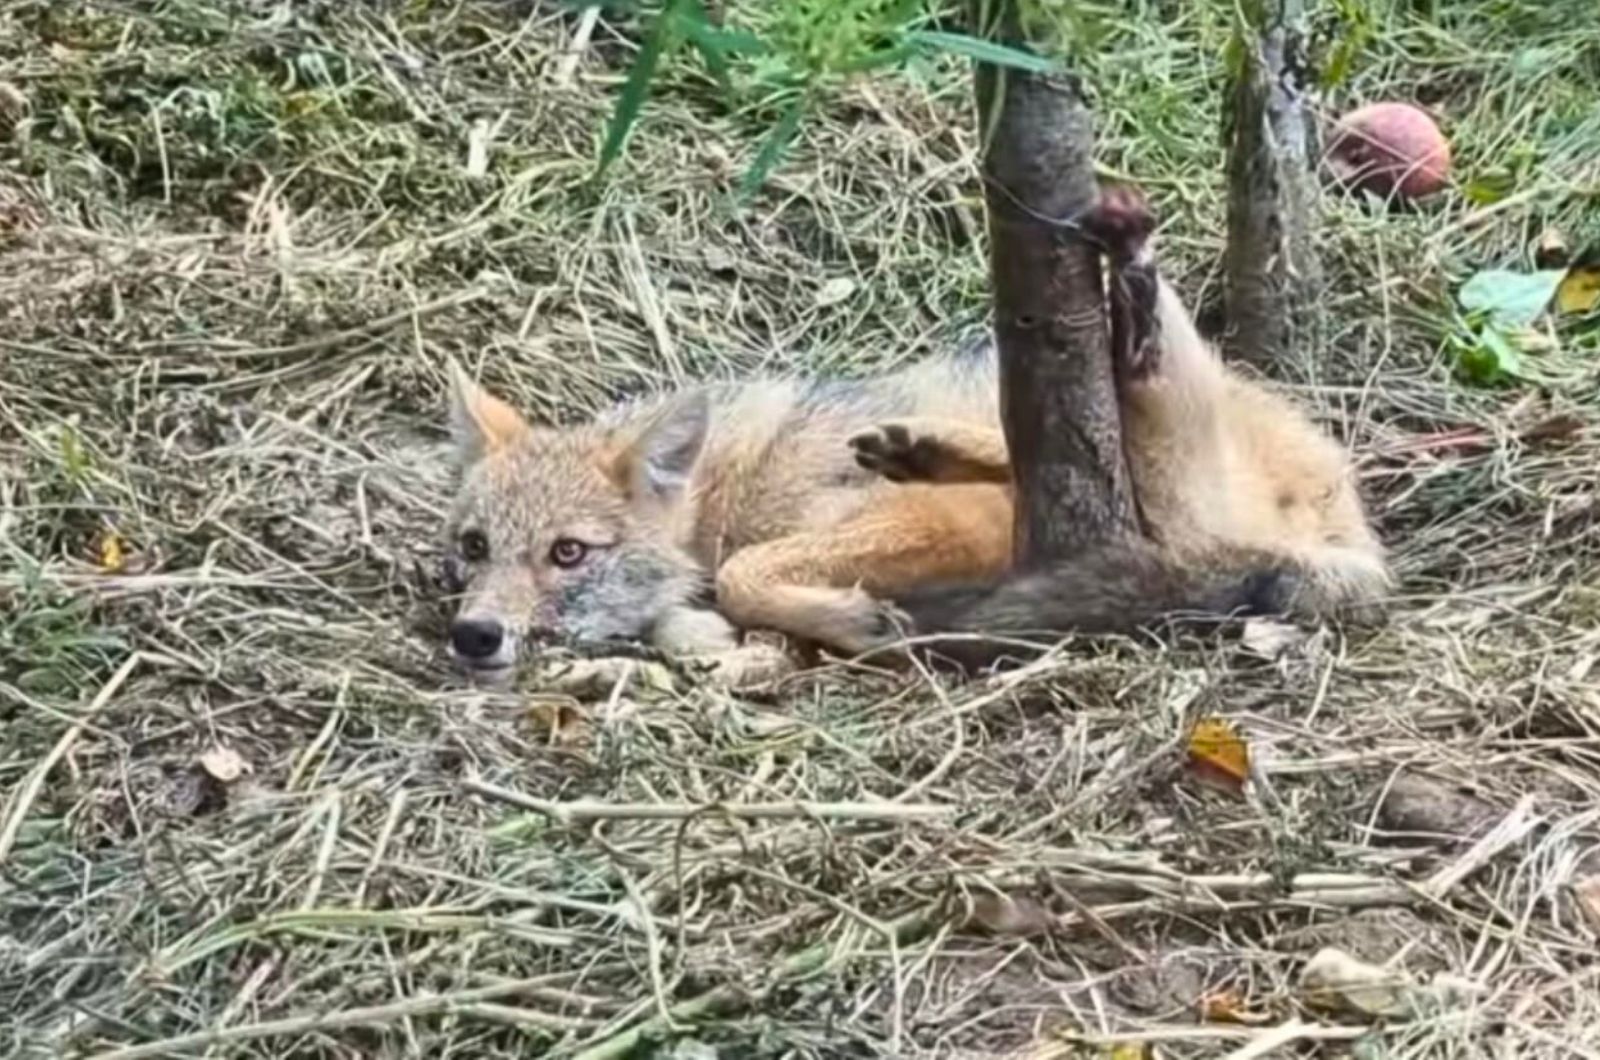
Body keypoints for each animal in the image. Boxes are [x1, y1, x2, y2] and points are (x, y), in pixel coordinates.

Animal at [435, 188, 1388, 688]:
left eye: (567, 552)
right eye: (474, 547)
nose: (472, 635)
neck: (733, 485)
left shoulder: (947, 527)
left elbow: (747, 575)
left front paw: (852, 621)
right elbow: (708, 614)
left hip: (1156, 495)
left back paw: (1134, 290)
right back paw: (925, 443)